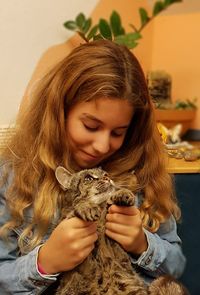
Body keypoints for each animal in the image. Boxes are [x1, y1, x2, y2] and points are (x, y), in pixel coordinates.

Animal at [51, 168, 188, 294]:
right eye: (88, 178)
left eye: (105, 174)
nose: (107, 178)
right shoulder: (64, 222)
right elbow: (75, 209)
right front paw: (86, 207)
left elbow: (111, 202)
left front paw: (122, 193)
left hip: (163, 281)